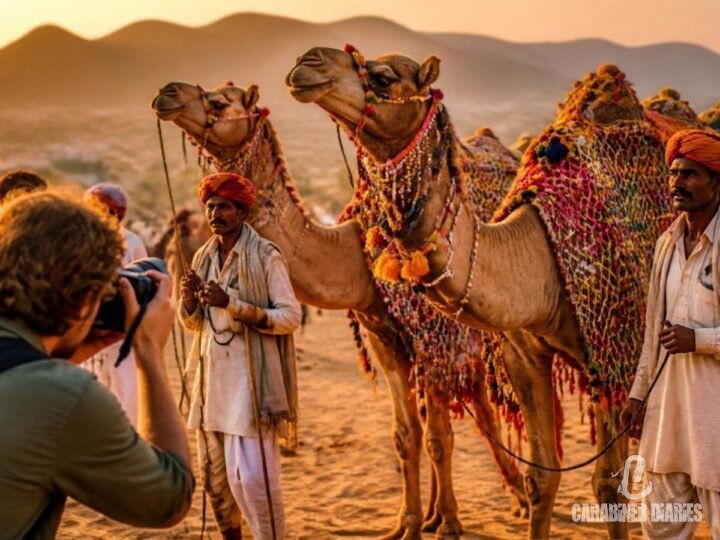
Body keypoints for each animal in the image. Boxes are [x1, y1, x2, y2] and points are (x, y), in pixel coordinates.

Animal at [152, 81, 525, 539]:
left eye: (220, 101)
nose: (168, 93)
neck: (353, 251)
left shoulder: (434, 334)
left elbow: (438, 436)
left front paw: (451, 526)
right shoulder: (383, 336)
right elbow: (407, 434)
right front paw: (408, 524)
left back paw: (512, 499)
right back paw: (453, 508)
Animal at [287, 47, 685, 539]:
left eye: (383, 77)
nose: (307, 62)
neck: (537, 252)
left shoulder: (612, 351)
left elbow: (608, 487)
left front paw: (444, 523)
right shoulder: (515, 353)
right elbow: (538, 476)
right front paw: (423, 522)